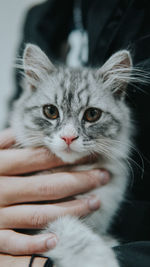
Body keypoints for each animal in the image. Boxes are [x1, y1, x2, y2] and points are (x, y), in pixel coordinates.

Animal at [12, 44, 134, 267]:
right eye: (50, 111)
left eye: (92, 114)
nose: (68, 137)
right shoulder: (38, 220)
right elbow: (73, 233)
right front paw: (98, 258)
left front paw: (108, 241)